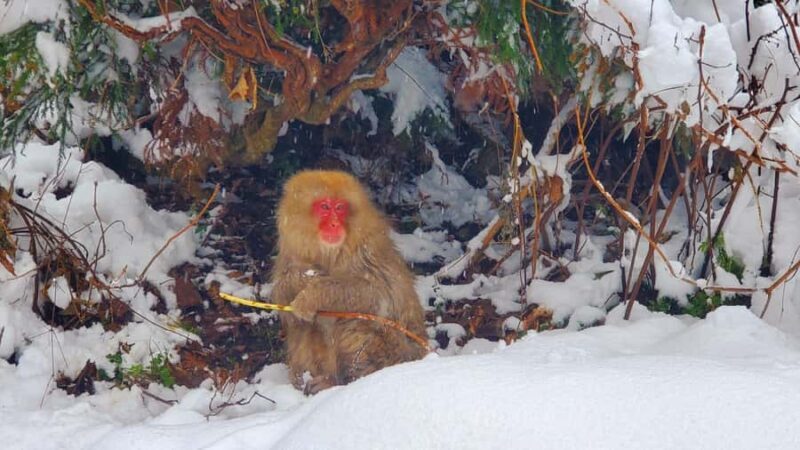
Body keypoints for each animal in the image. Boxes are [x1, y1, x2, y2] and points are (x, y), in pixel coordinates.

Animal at [270, 170, 427, 394]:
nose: (335, 223)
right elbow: (286, 305)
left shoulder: (366, 249)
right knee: (306, 325)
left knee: (357, 321)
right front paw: (301, 278)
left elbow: (378, 294)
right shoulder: (291, 252)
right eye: (325, 207)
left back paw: (345, 381)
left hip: (396, 354)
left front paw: (312, 295)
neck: (329, 252)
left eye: (340, 208)